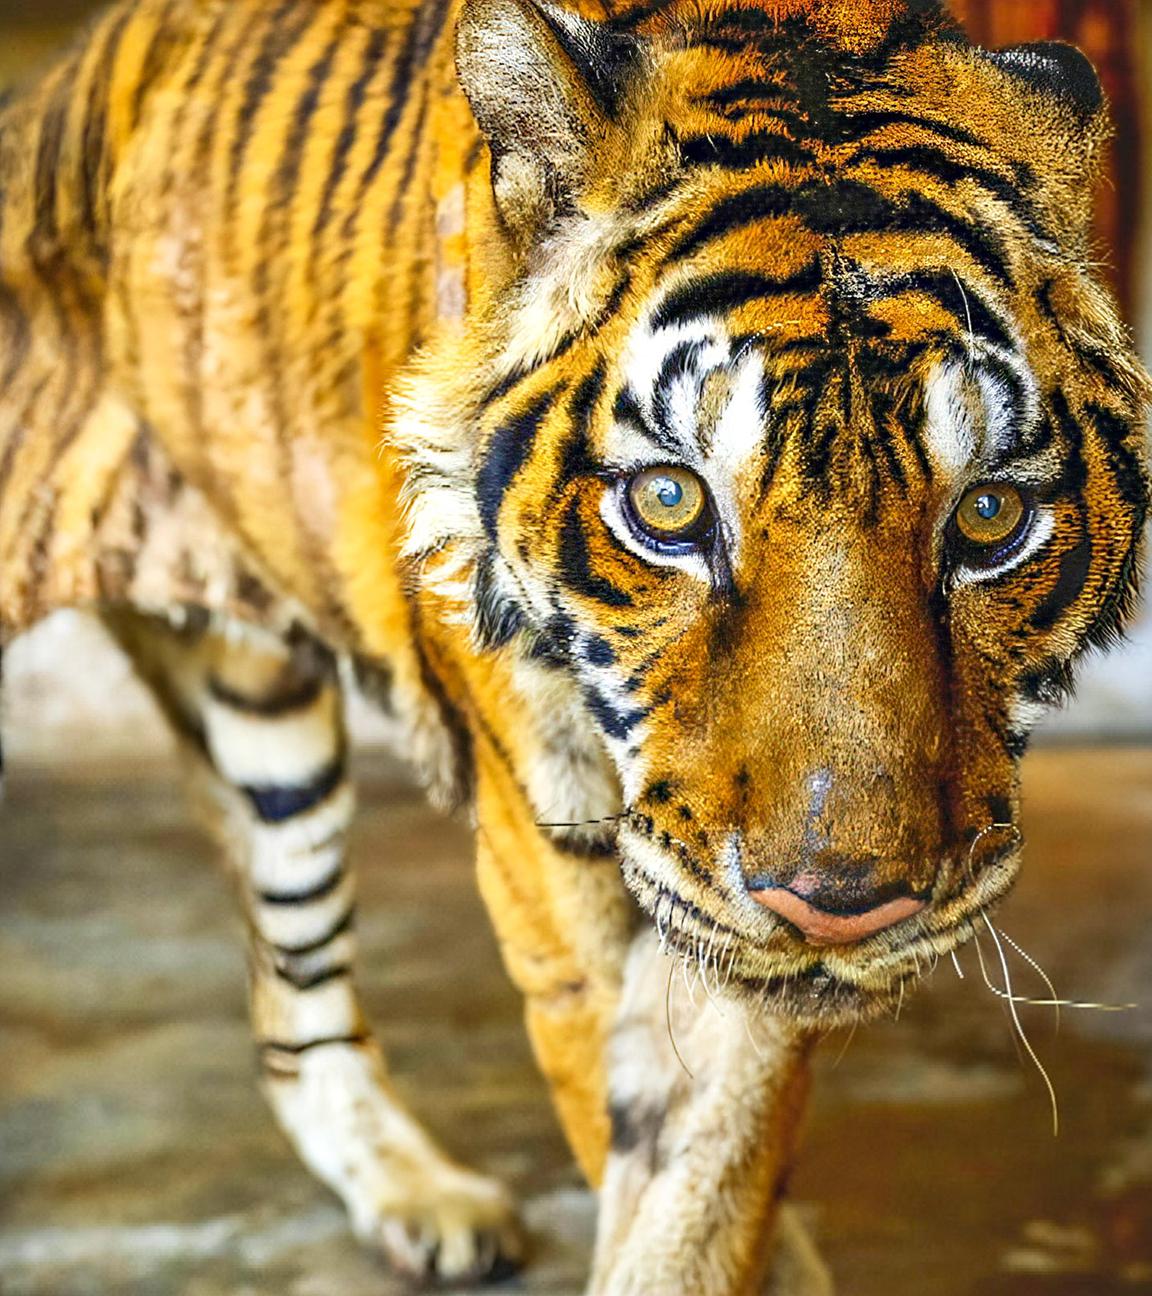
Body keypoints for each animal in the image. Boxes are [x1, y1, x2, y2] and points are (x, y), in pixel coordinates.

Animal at [0, 0, 1148, 1290]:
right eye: (668, 504)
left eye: (990, 516)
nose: (840, 908)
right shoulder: (568, 868)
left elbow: (703, 1174)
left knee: (291, 1005)